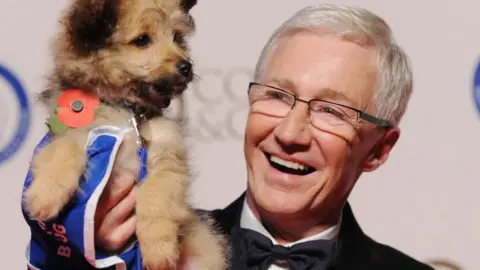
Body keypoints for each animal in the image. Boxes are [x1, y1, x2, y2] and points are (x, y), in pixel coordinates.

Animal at [23, 0, 229, 268]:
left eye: (176, 37)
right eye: (142, 40)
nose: (186, 66)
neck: (128, 112)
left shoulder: (167, 157)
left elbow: (155, 195)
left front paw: (158, 249)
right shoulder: (76, 131)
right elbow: (65, 148)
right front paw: (45, 194)